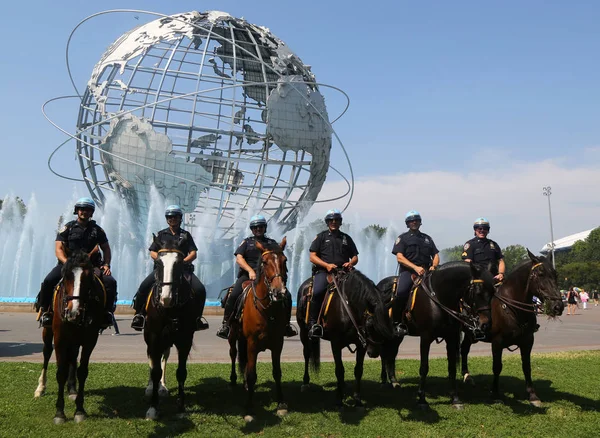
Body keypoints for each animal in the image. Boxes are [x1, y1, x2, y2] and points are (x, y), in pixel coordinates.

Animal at [36, 250, 104, 424]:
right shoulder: (60, 339)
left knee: (72, 356)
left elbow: (83, 371)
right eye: (66, 276)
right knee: (47, 352)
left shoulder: (90, 340)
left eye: (88, 277)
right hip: (48, 331)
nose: (73, 312)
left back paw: (72, 388)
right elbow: (60, 372)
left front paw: (79, 410)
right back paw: (40, 387)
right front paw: (59, 412)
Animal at [227, 238, 288, 422]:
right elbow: (251, 374)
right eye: (265, 262)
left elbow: (277, 372)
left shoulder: (278, 344)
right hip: (233, 336)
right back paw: (233, 381)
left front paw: (281, 403)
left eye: (285, 261)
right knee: (233, 355)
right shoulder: (252, 344)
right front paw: (249, 408)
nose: (279, 292)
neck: (268, 309)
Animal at [298, 268, 396, 408]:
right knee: (307, 353)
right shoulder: (335, 343)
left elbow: (358, 370)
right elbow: (339, 370)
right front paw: (339, 400)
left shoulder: (362, 344)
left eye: (386, 324)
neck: (349, 307)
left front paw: (358, 400)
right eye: (370, 326)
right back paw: (306, 382)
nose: (374, 352)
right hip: (303, 332)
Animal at [378, 262, 494, 408]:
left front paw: (455, 398)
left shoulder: (452, 337)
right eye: (478, 293)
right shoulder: (426, 337)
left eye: (493, 293)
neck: (438, 298)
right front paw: (421, 399)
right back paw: (384, 381)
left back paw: (394, 381)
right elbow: (424, 367)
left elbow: (451, 368)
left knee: (391, 354)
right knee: (384, 354)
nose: (485, 324)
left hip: (398, 336)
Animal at [462, 248, 564, 406]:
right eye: (540, 274)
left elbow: (526, 366)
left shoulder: (528, 341)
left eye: (555, 274)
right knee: (464, 350)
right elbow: (497, 367)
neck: (512, 306)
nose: (557, 306)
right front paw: (495, 393)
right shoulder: (497, 342)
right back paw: (466, 376)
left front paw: (532, 395)